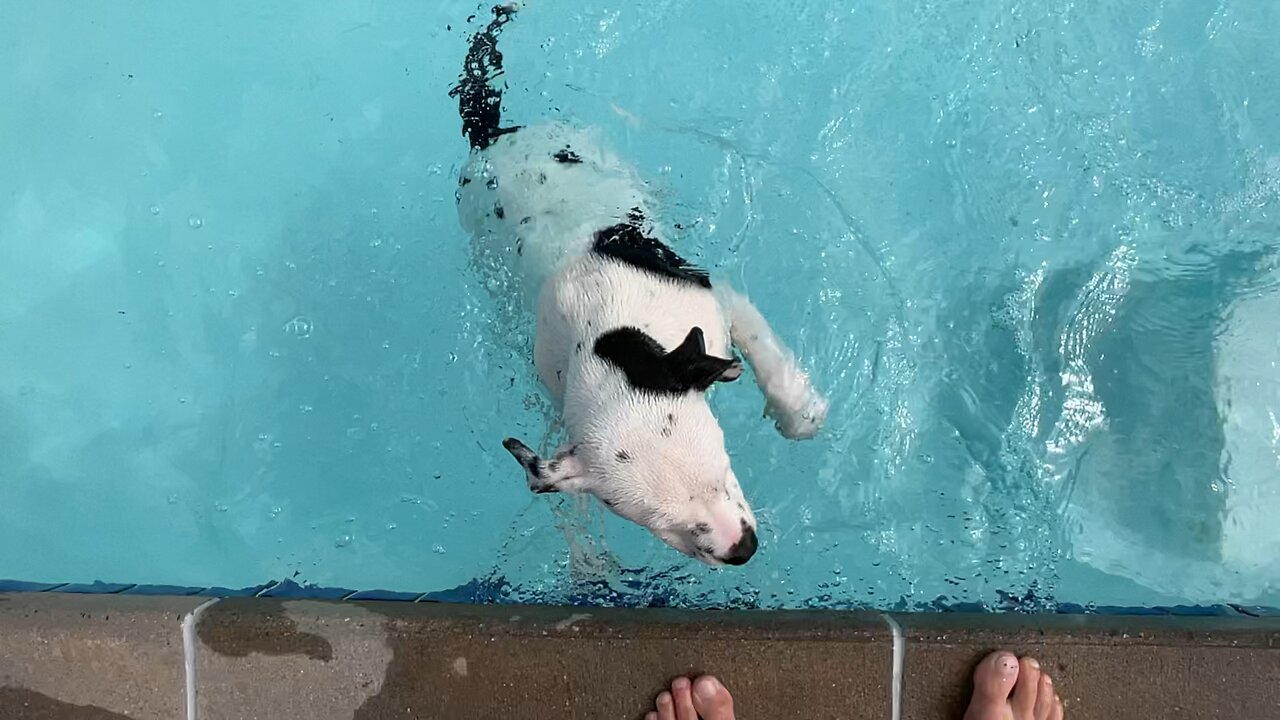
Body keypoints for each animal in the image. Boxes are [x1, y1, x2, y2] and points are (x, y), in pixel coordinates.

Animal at [450, 5, 829, 566]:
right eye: (666, 527)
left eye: (724, 473)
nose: (742, 549)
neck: (614, 331)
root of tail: (490, 135)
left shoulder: (716, 300)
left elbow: (764, 352)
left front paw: (798, 410)